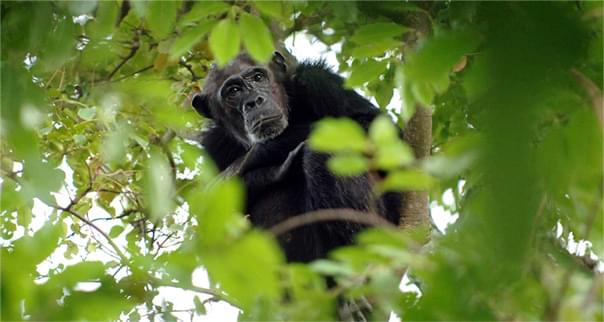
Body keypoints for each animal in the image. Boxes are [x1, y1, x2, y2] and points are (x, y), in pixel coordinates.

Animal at [192, 52, 402, 262]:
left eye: (258, 77)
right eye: (233, 91)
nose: (254, 101)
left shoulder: (320, 81)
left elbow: (376, 130)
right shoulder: (213, 145)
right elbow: (210, 208)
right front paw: (272, 165)